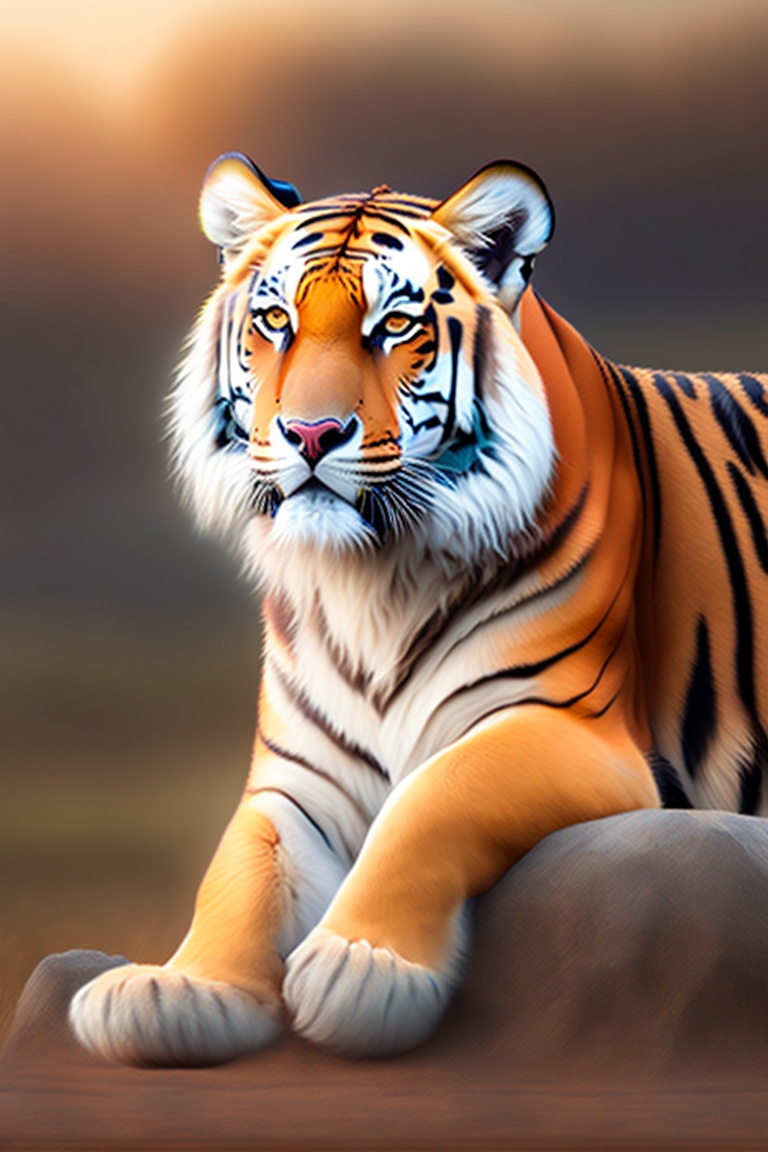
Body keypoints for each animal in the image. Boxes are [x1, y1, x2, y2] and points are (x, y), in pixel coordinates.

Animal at [69, 154, 768, 1067]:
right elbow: (241, 867)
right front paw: (176, 988)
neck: (371, 580)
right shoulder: (300, 773)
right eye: (274, 320)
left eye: (395, 326)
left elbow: (432, 801)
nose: (311, 433)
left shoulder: (573, 730)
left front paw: (362, 966)